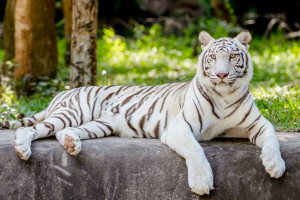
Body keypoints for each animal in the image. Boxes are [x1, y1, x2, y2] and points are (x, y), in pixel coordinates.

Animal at [4, 30, 286, 195]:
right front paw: (201, 181)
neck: (225, 95)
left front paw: (275, 164)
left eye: (233, 57)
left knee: (64, 132)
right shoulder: (180, 127)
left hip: (99, 125)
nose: (222, 75)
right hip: (72, 112)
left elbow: (272, 135)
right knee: (31, 129)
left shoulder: (256, 123)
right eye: (214, 57)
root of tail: (61, 93)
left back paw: (72, 144)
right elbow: (196, 149)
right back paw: (22, 148)